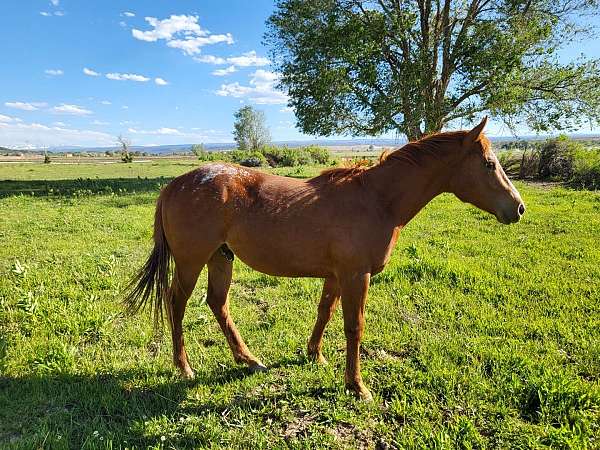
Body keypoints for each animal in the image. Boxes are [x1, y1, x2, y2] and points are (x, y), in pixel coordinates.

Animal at [125, 117, 524, 400]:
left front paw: (313, 355)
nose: (518, 208)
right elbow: (354, 327)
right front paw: (356, 386)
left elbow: (325, 313)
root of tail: (175, 184)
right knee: (176, 304)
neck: (376, 199)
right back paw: (184, 367)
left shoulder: (335, 276)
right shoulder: (356, 275)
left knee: (218, 304)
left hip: (221, 258)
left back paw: (249, 360)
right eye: (489, 164)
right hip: (191, 262)